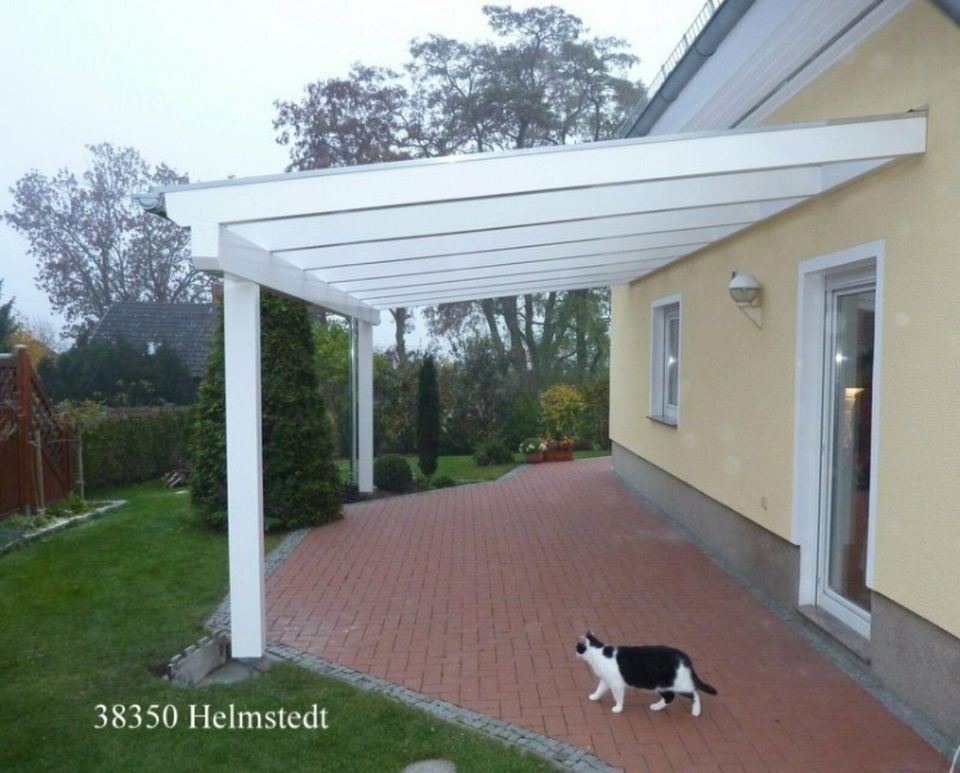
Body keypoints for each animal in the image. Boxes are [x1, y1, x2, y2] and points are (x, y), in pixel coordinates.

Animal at [572, 632, 716, 716]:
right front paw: (594, 697)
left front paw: (618, 708)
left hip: (680, 684)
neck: (597, 652)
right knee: (670, 697)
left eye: (577, 647)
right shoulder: (606, 680)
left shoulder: (617, 684)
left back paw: (696, 711)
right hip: (662, 686)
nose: (574, 653)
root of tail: (685, 657)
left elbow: (618, 697)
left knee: (695, 693)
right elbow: (599, 689)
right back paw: (657, 707)